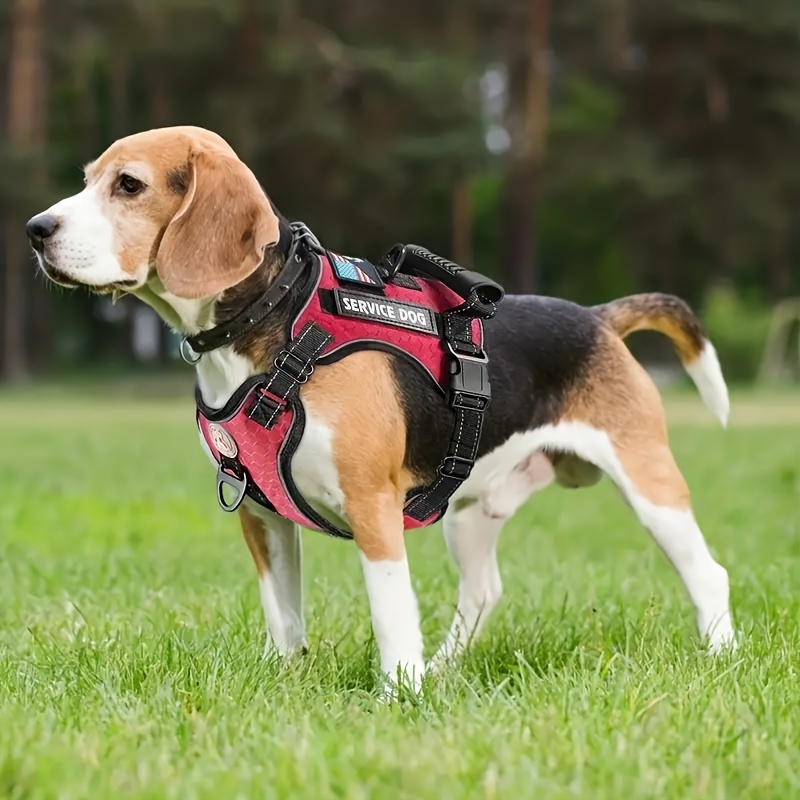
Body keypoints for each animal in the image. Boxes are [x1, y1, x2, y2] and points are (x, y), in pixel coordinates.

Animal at [25, 128, 736, 692]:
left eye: (129, 185)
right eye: (88, 181)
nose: (35, 231)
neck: (277, 320)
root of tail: (596, 317)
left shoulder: (372, 506)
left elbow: (391, 612)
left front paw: (399, 694)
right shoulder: (260, 514)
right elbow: (284, 614)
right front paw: (286, 680)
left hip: (649, 483)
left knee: (710, 573)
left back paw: (720, 657)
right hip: (469, 509)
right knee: (484, 592)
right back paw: (444, 670)